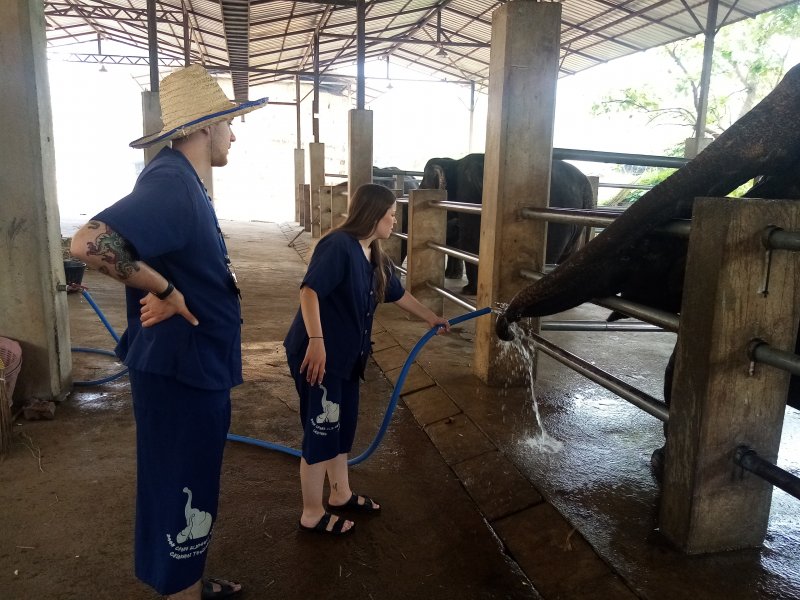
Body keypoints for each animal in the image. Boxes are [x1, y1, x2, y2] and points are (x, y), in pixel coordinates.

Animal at [420, 153, 596, 294]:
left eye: (422, 186)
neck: (453, 163)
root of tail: (587, 184)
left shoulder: (469, 194)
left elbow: (470, 240)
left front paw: (469, 291)